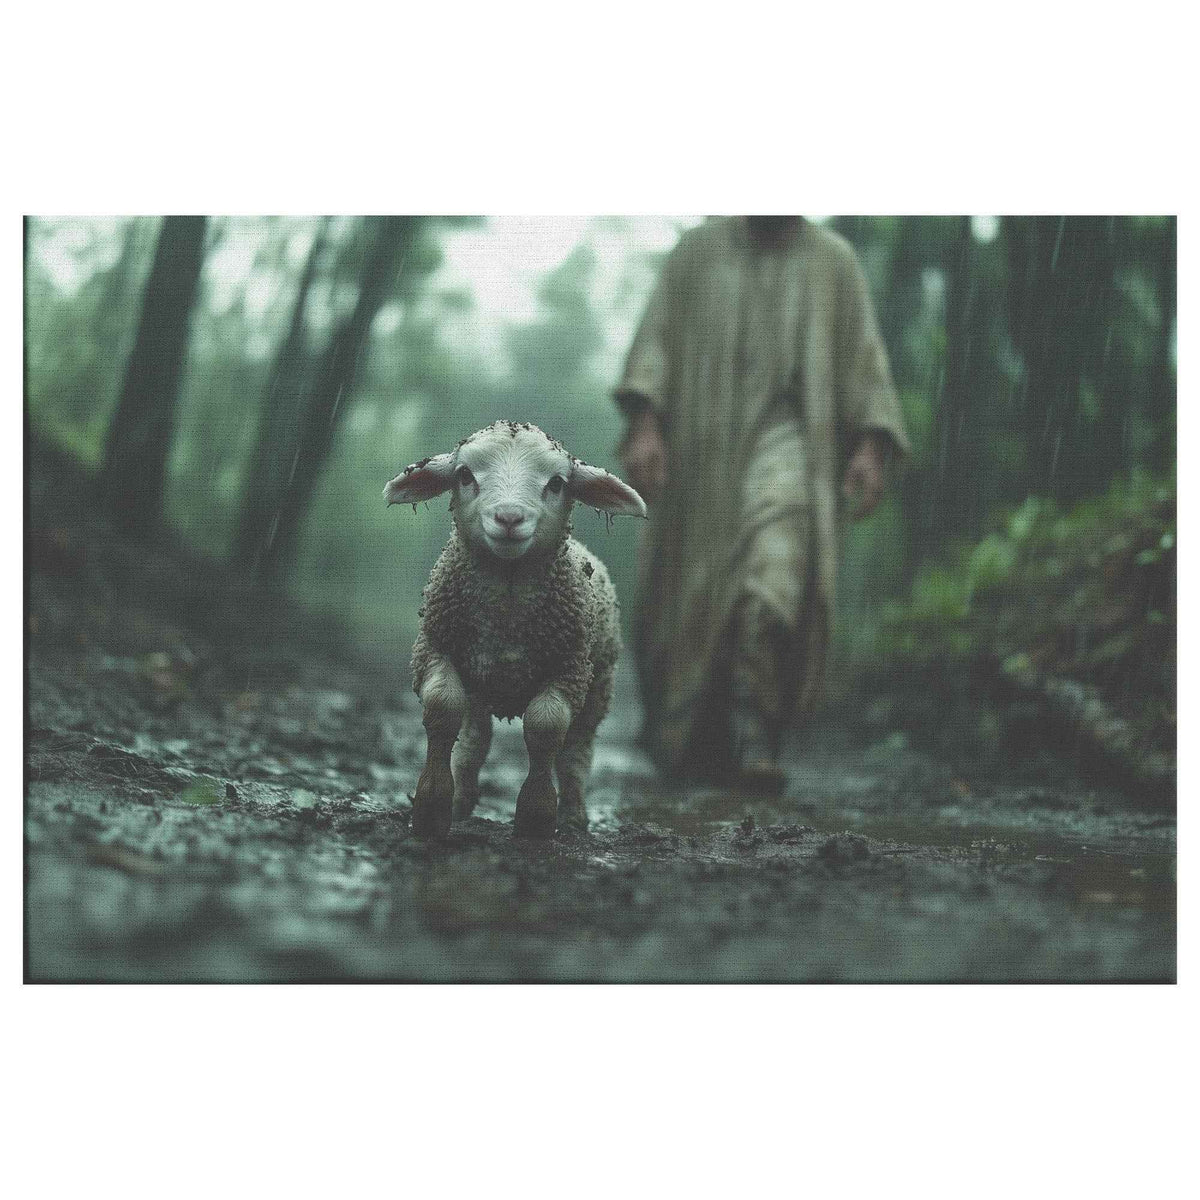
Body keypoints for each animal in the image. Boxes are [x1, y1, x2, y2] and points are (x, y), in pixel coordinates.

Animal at [384, 421, 646, 839]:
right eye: (464, 475)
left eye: (556, 483)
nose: (509, 518)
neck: (506, 614)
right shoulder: (434, 647)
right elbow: (442, 706)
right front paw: (432, 808)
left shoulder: (570, 667)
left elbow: (546, 727)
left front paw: (536, 816)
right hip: (479, 684)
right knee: (474, 741)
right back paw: (461, 801)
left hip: (600, 683)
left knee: (576, 751)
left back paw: (573, 816)